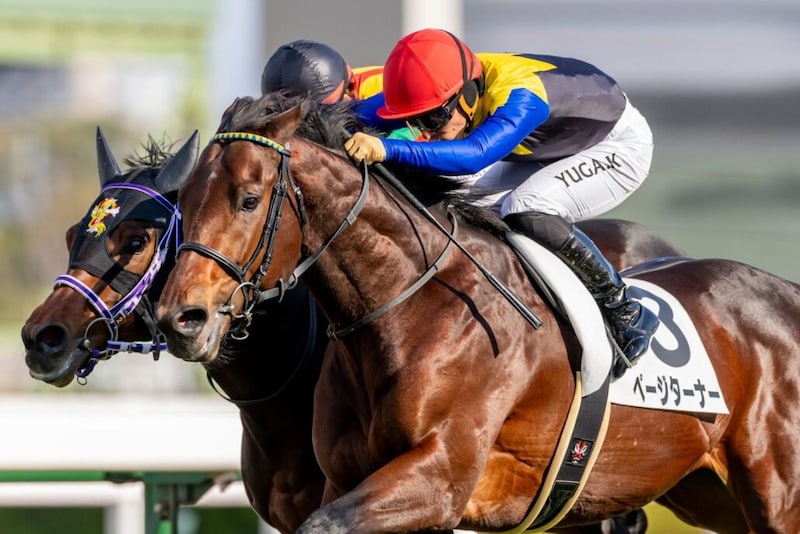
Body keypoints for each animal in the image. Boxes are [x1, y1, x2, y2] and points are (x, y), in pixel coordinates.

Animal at [155, 92, 800, 533]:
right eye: (183, 203)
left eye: (248, 200)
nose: (179, 319)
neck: (412, 304)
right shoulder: (345, 476)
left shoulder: (440, 479)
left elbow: (328, 523)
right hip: (707, 492)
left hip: (778, 499)